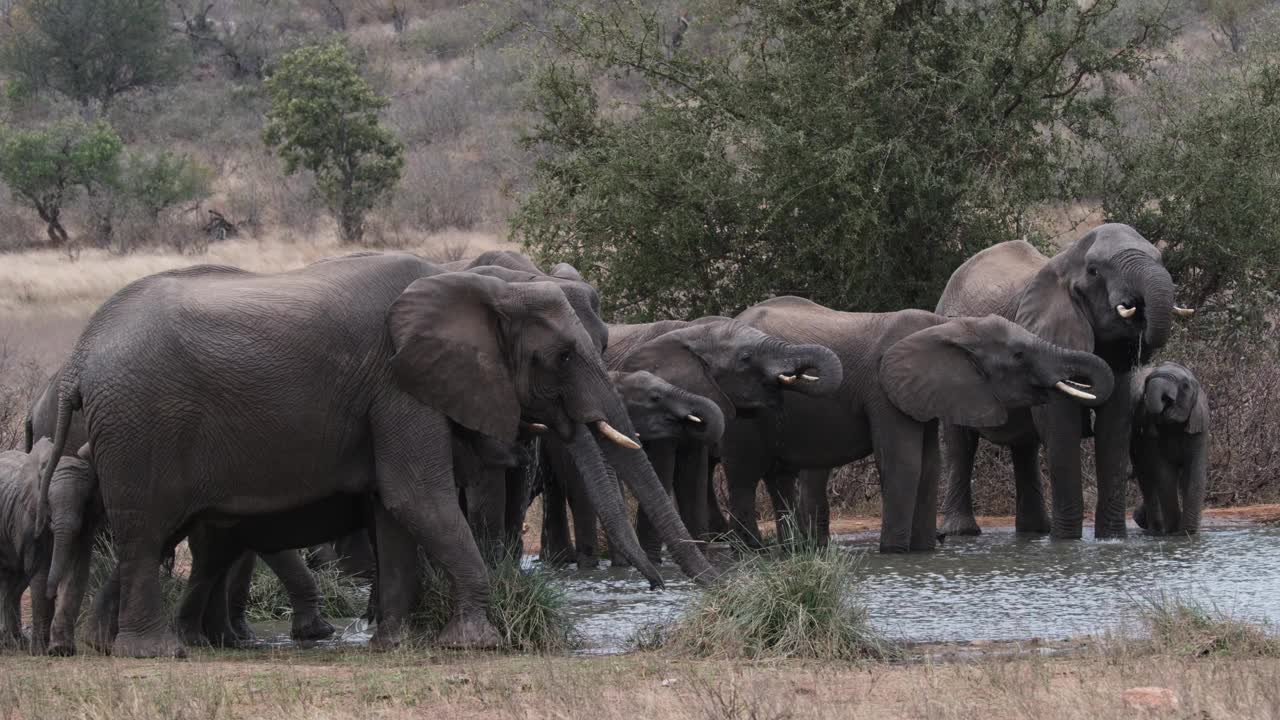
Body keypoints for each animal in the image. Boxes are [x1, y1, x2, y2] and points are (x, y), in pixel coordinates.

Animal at [0, 435, 98, 653]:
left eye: (85, 500)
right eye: (48, 500)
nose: (52, 593)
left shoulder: (86, 526)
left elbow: (76, 572)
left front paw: (62, 650)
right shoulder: (28, 520)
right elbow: (41, 572)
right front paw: (40, 651)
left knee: (14, 584)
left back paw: (16, 643)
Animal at [37, 253, 721, 655]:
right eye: (561, 356)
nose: (667, 587)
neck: (473, 281)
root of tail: (77, 358)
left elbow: (395, 512)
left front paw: (394, 642)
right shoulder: (399, 384)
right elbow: (417, 497)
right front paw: (476, 643)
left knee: (166, 540)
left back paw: (114, 645)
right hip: (139, 428)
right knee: (145, 533)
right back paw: (153, 653)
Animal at [727, 295, 1116, 548]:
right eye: (1019, 355)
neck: (948, 329)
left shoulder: (923, 391)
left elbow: (929, 466)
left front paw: (923, 552)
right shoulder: (884, 390)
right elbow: (905, 463)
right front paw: (894, 553)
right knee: (744, 476)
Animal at [936, 221, 1182, 535]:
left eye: (1160, 259)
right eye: (1094, 270)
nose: (1137, 305)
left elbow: (1114, 428)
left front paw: (1112, 539)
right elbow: (1061, 427)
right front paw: (1067, 540)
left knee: (1025, 448)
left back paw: (1035, 531)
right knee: (961, 444)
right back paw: (961, 532)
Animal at [1131, 358, 1208, 532]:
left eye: (1185, 386)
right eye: (1147, 381)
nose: (1166, 399)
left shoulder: (1198, 427)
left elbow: (1193, 473)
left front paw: (1187, 532)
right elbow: (1165, 474)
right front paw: (1175, 531)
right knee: (1147, 479)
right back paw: (1155, 529)